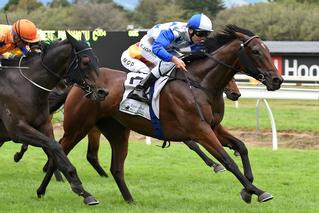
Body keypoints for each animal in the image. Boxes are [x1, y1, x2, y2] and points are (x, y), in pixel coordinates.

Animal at [0, 32, 108, 205]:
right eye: (85, 61)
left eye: (96, 59)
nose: (103, 92)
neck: (27, 85)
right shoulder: (17, 129)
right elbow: (55, 147)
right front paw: (77, 185)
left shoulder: (44, 125)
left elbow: (56, 152)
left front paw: (84, 192)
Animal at [48, 25, 284, 203]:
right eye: (256, 52)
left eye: (268, 51)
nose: (277, 80)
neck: (200, 84)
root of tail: (79, 84)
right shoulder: (199, 130)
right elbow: (227, 160)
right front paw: (257, 191)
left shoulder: (214, 127)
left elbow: (242, 147)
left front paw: (248, 188)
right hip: (78, 127)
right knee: (58, 151)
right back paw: (55, 190)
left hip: (113, 129)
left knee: (107, 164)